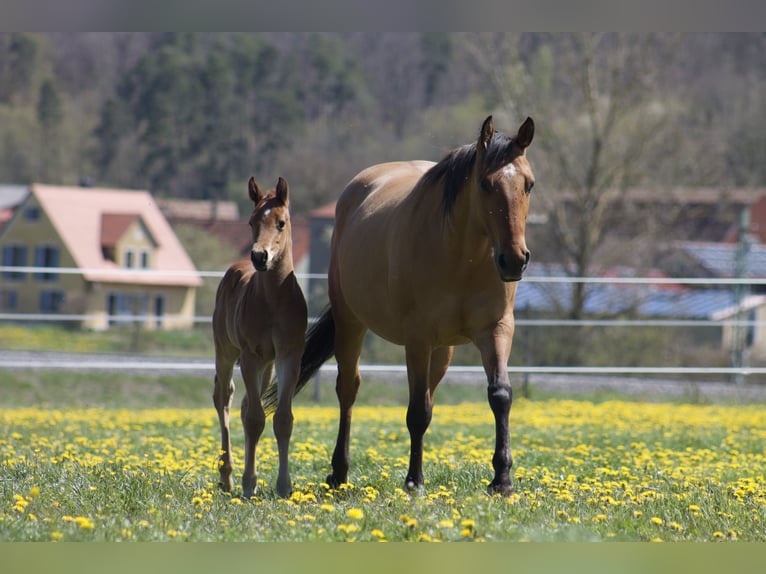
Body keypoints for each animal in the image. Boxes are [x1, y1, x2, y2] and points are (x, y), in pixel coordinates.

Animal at [212, 176, 307, 498]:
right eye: (252, 221)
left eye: (281, 222)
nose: (259, 256)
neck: (274, 301)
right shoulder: (250, 356)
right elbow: (255, 419)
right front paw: (249, 483)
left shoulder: (289, 356)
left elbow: (282, 419)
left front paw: (284, 486)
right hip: (226, 351)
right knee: (224, 398)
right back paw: (227, 476)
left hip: (266, 366)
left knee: (243, 406)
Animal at [264, 115, 535, 494]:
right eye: (484, 184)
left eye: (529, 185)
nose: (514, 260)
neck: (462, 258)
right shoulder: (417, 338)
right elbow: (416, 411)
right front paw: (414, 480)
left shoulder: (496, 330)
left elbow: (500, 395)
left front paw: (502, 479)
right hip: (351, 324)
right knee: (348, 390)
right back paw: (339, 472)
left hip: (443, 350)